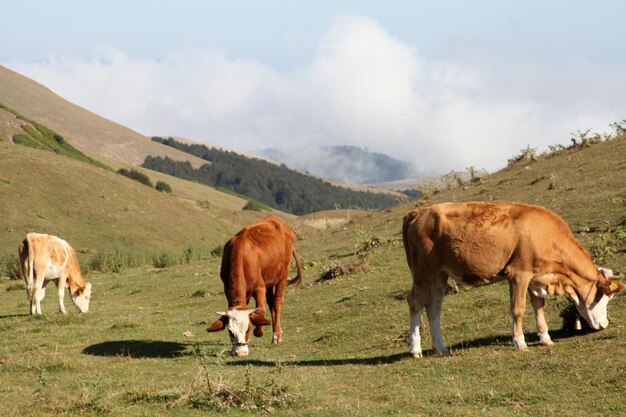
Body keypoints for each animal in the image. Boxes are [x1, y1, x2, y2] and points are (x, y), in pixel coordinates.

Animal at [206, 214, 302, 354]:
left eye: (248, 329)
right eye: (230, 332)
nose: (240, 353)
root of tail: (279, 221)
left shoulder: (259, 288)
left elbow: (260, 311)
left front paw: (259, 331)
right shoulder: (229, 289)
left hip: (283, 275)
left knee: (277, 302)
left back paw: (277, 335)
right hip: (269, 280)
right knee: (271, 304)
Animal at [402, 202, 620, 358]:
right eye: (605, 297)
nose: (604, 324)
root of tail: (419, 212)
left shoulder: (535, 276)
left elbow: (538, 306)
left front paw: (545, 338)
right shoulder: (518, 274)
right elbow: (518, 308)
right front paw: (520, 342)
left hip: (440, 275)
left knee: (434, 308)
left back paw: (441, 348)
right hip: (423, 273)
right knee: (415, 302)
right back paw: (415, 350)